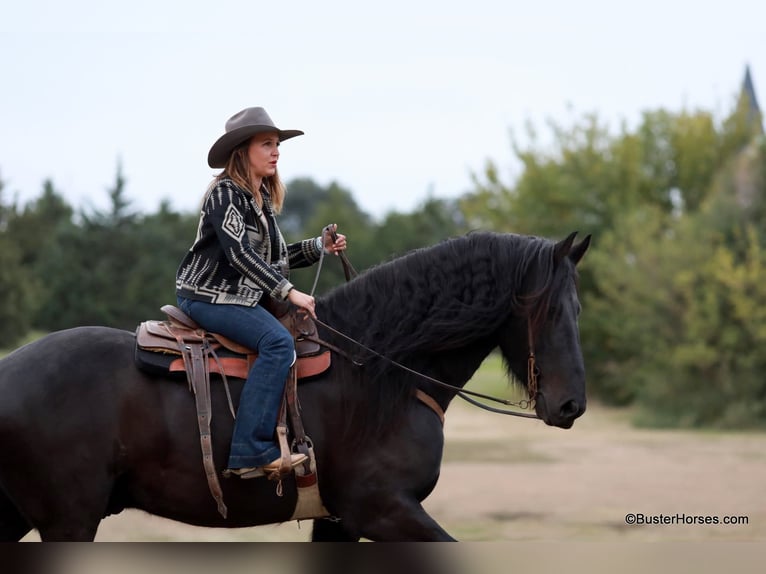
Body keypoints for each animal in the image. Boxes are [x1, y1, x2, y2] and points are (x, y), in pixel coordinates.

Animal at [0, 232, 592, 544]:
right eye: (550, 311)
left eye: (578, 308)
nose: (572, 404)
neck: (380, 374)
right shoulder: (383, 510)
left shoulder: (340, 522)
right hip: (69, 521)